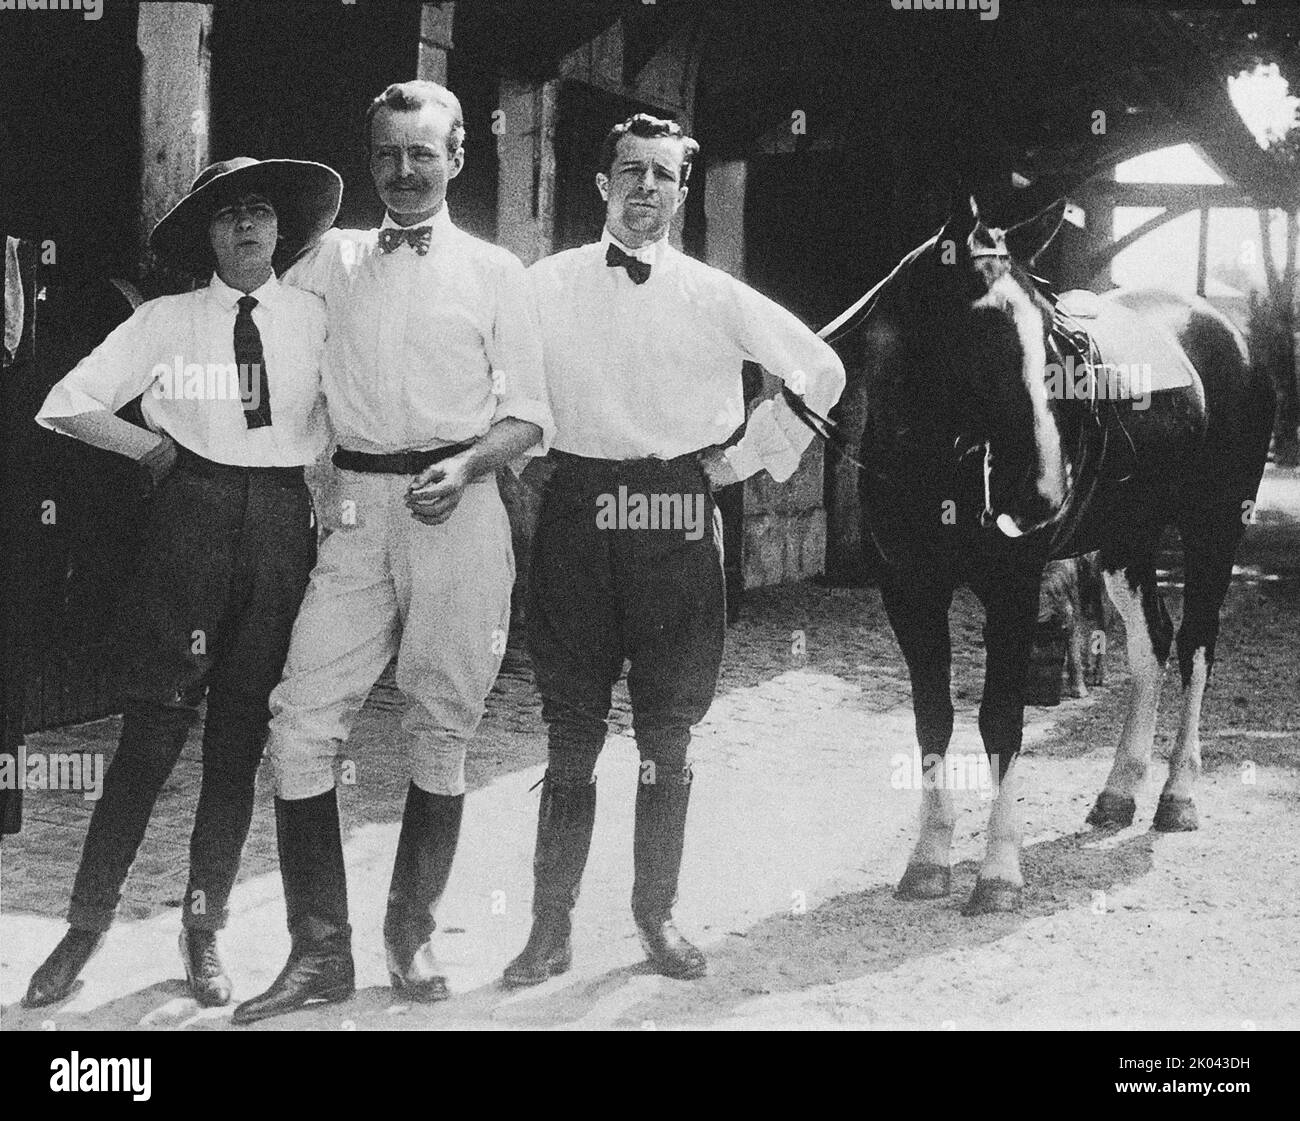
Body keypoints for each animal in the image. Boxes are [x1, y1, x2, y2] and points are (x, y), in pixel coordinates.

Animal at [795, 201, 1274, 915]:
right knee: (1153, 645)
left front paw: (998, 873)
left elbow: (1001, 722)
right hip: (1126, 540)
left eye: (1049, 334)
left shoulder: (1012, 588)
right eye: (983, 330)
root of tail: (1230, 333)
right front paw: (928, 861)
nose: (1043, 490)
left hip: (1215, 527)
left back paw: (1178, 796)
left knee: (1196, 646)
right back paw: (1117, 793)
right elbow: (932, 719)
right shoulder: (908, 590)